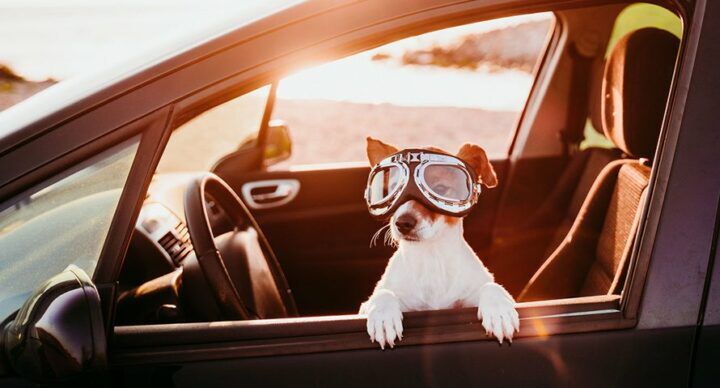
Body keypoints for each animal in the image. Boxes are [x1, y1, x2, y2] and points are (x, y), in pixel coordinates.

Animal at [358, 138, 516, 350]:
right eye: (393, 190)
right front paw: (383, 317)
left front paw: (499, 310)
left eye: (440, 190)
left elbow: (491, 286)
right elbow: (383, 293)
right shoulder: (370, 304)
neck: (431, 257)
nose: (402, 223)